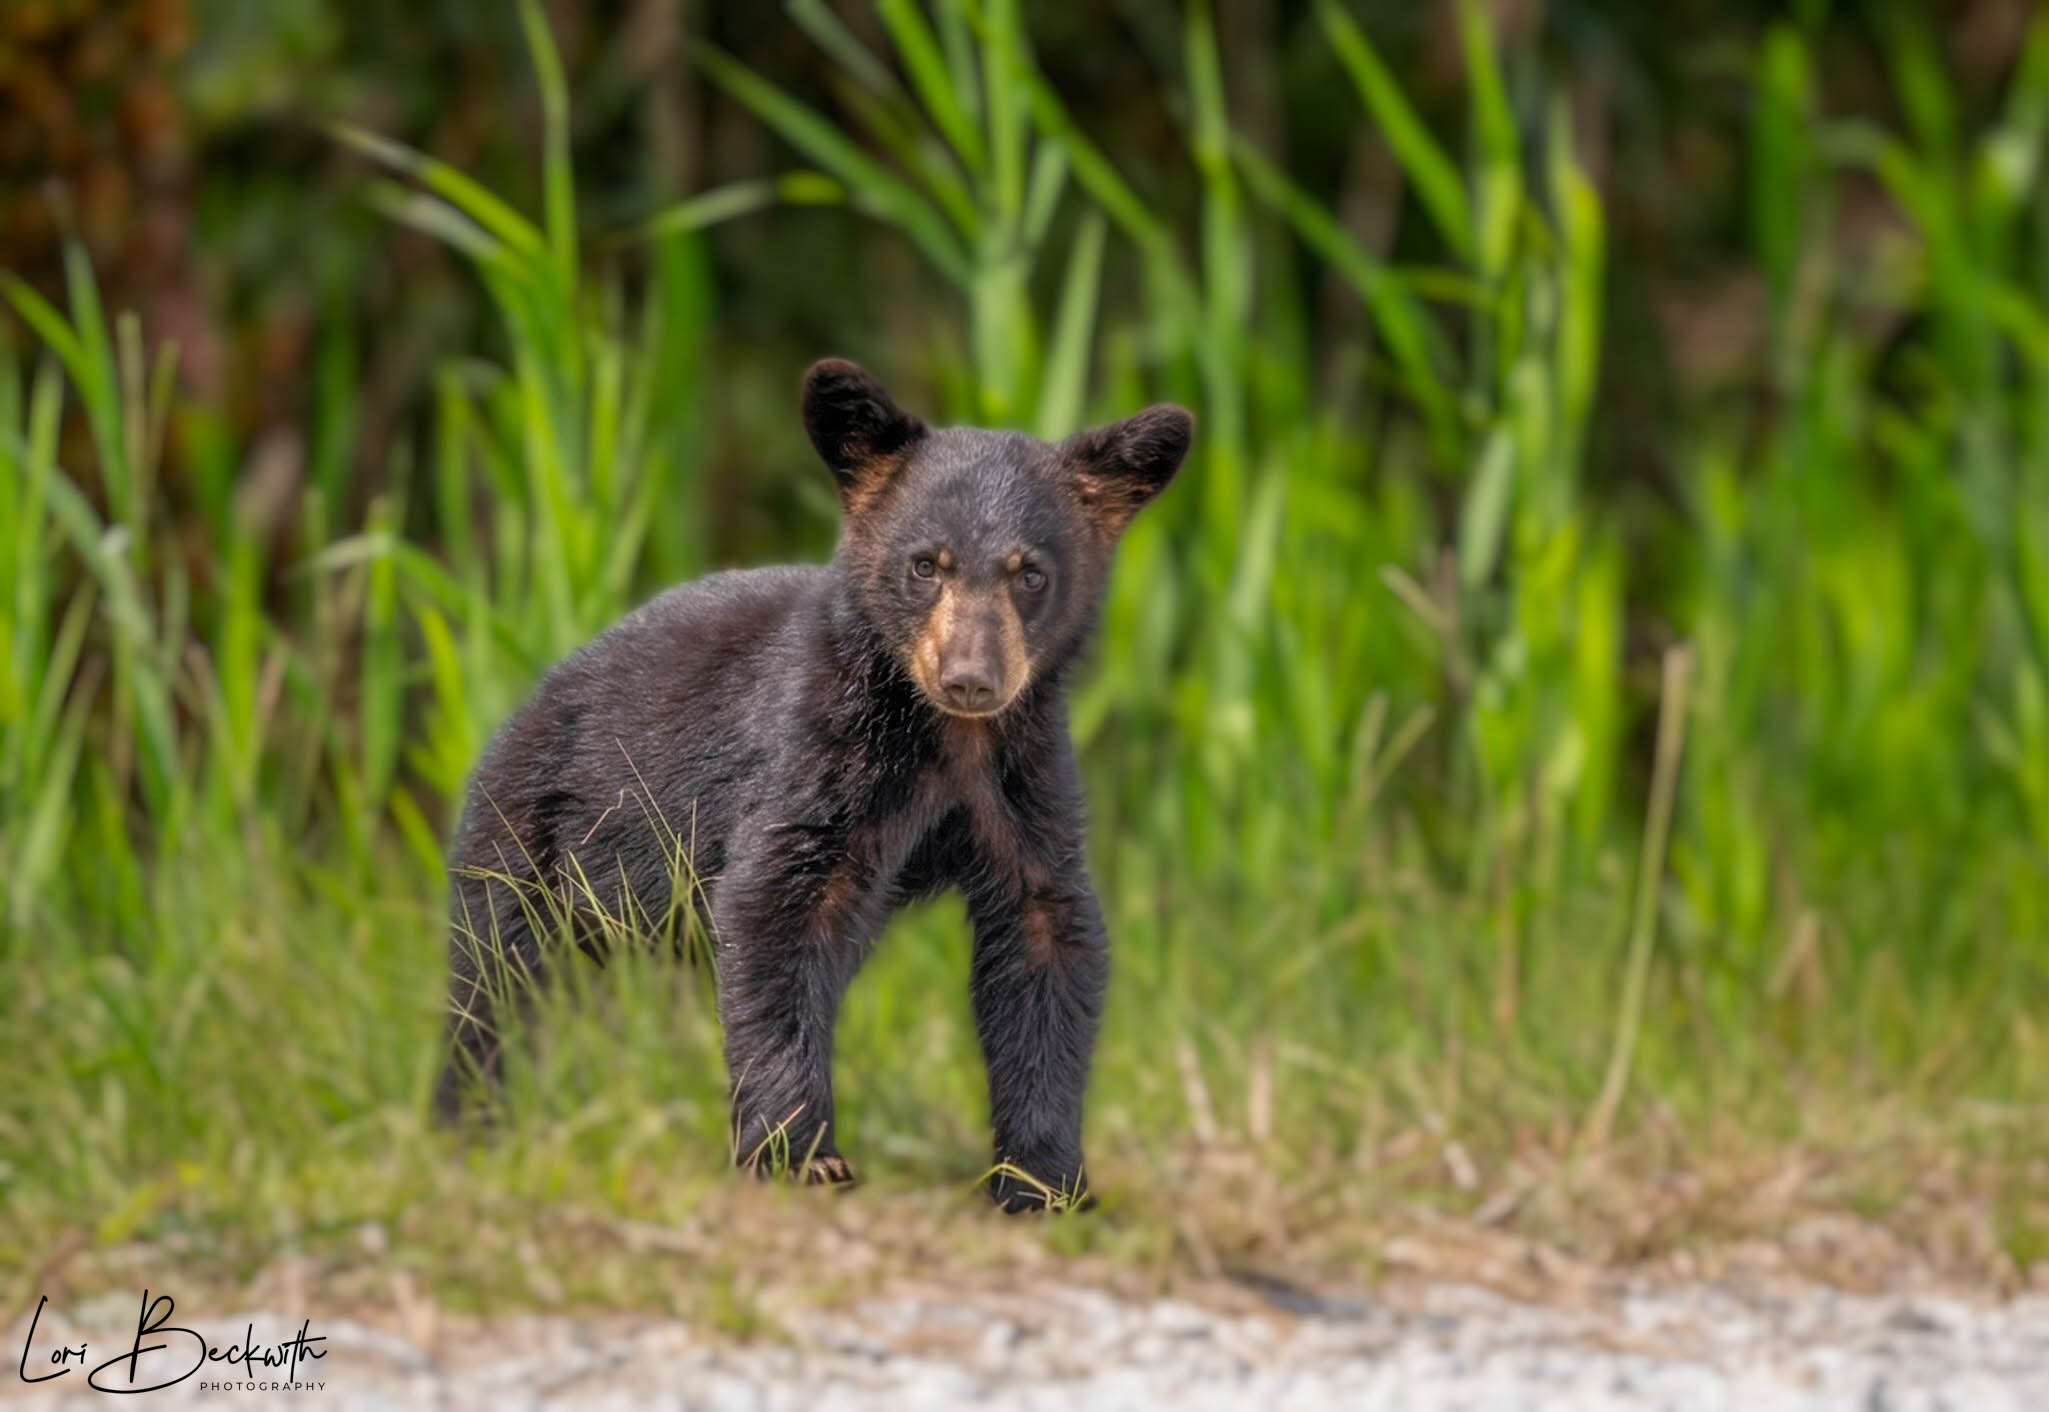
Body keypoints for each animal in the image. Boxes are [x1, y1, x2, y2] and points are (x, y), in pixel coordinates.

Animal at [432, 358, 1193, 1210]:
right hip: (530, 840)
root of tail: (520, 711)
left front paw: (1045, 1180)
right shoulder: (814, 755)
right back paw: (469, 1117)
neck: (943, 740)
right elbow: (775, 911)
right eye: (925, 563)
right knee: (497, 984)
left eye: (1029, 573)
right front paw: (799, 1153)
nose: (970, 677)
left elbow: (1046, 942)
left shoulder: (1024, 785)